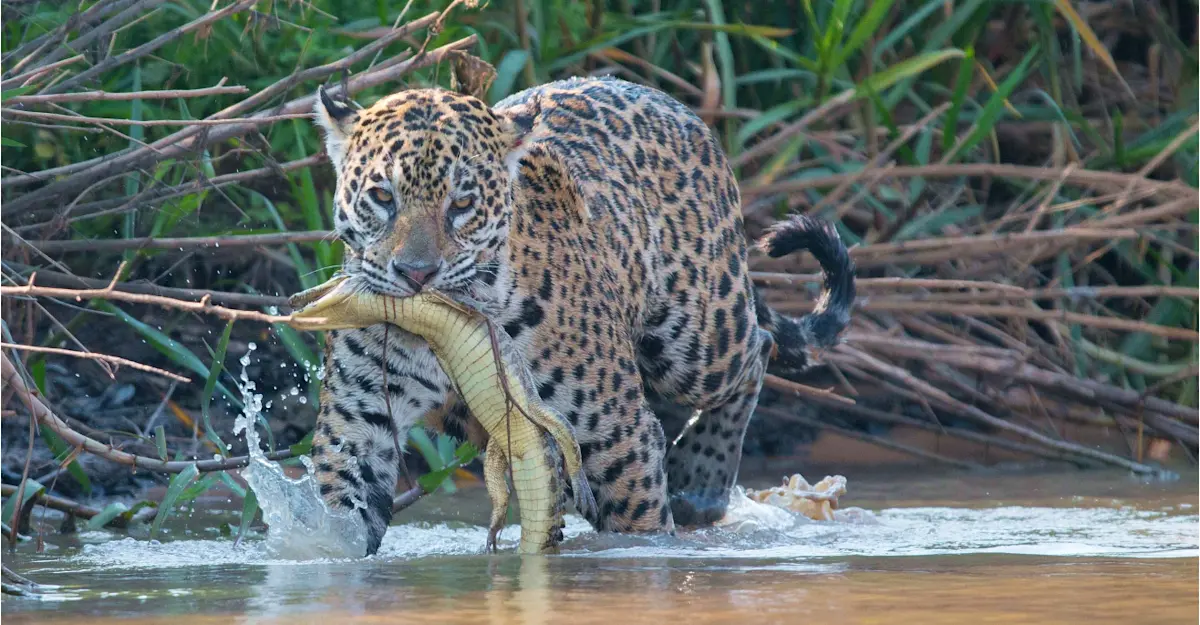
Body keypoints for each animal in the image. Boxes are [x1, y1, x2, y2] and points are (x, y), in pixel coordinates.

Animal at [306, 76, 856, 555]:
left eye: (462, 204)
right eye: (382, 196)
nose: (416, 274)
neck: (444, 332)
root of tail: (673, 104)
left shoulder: (619, 438)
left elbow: (640, 530)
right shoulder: (357, 429)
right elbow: (339, 524)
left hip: (698, 339)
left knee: (757, 348)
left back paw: (700, 483)